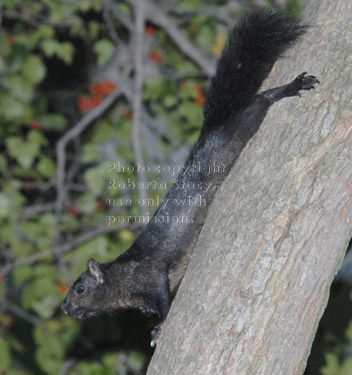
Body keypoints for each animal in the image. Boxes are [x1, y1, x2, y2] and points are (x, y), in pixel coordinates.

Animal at [60, 10, 320, 348]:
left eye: (80, 288)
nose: (64, 308)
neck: (122, 281)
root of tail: (210, 130)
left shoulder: (151, 275)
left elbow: (163, 299)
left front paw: (159, 327)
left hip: (239, 128)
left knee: (260, 102)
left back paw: (290, 87)